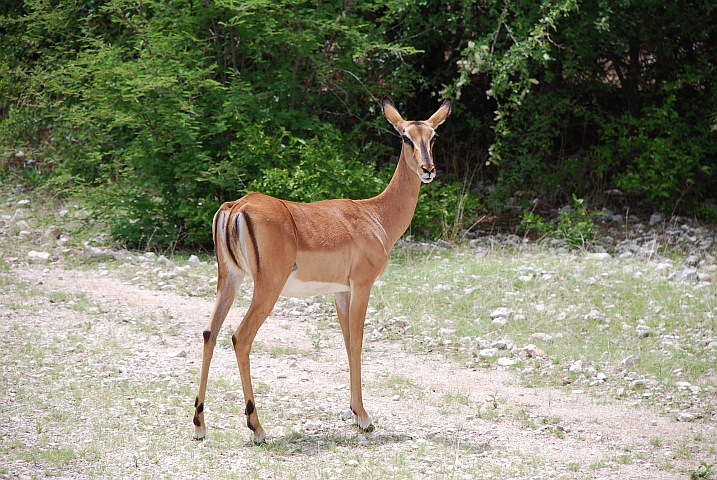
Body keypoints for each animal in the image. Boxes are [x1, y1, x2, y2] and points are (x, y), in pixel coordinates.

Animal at [193, 97, 451, 443]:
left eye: (432, 137)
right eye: (405, 137)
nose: (428, 170)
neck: (377, 215)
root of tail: (236, 207)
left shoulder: (340, 292)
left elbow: (347, 342)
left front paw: (355, 413)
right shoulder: (362, 285)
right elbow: (357, 341)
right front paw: (365, 418)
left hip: (228, 280)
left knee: (210, 332)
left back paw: (199, 424)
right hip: (267, 288)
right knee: (240, 337)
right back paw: (257, 427)